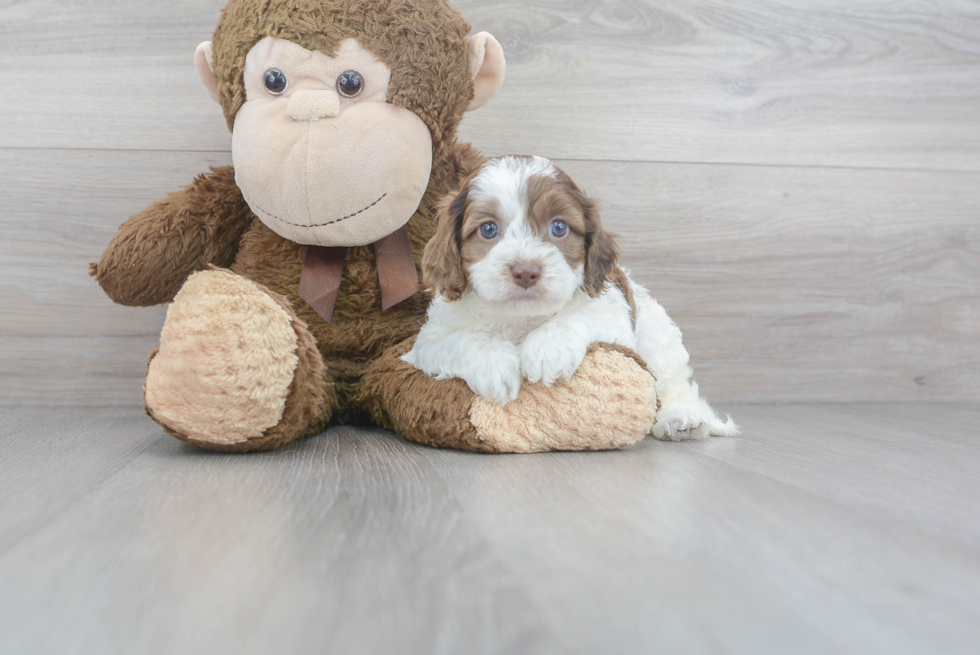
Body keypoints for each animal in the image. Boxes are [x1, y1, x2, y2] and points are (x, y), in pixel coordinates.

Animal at [404, 155, 736, 440]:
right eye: (488, 229)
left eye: (559, 227)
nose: (526, 271)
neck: (521, 318)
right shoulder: (430, 340)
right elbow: (464, 339)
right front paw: (494, 365)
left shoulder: (611, 313)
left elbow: (579, 316)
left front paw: (547, 348)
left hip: (656, 336)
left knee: (672, 382)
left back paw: (682, 418)